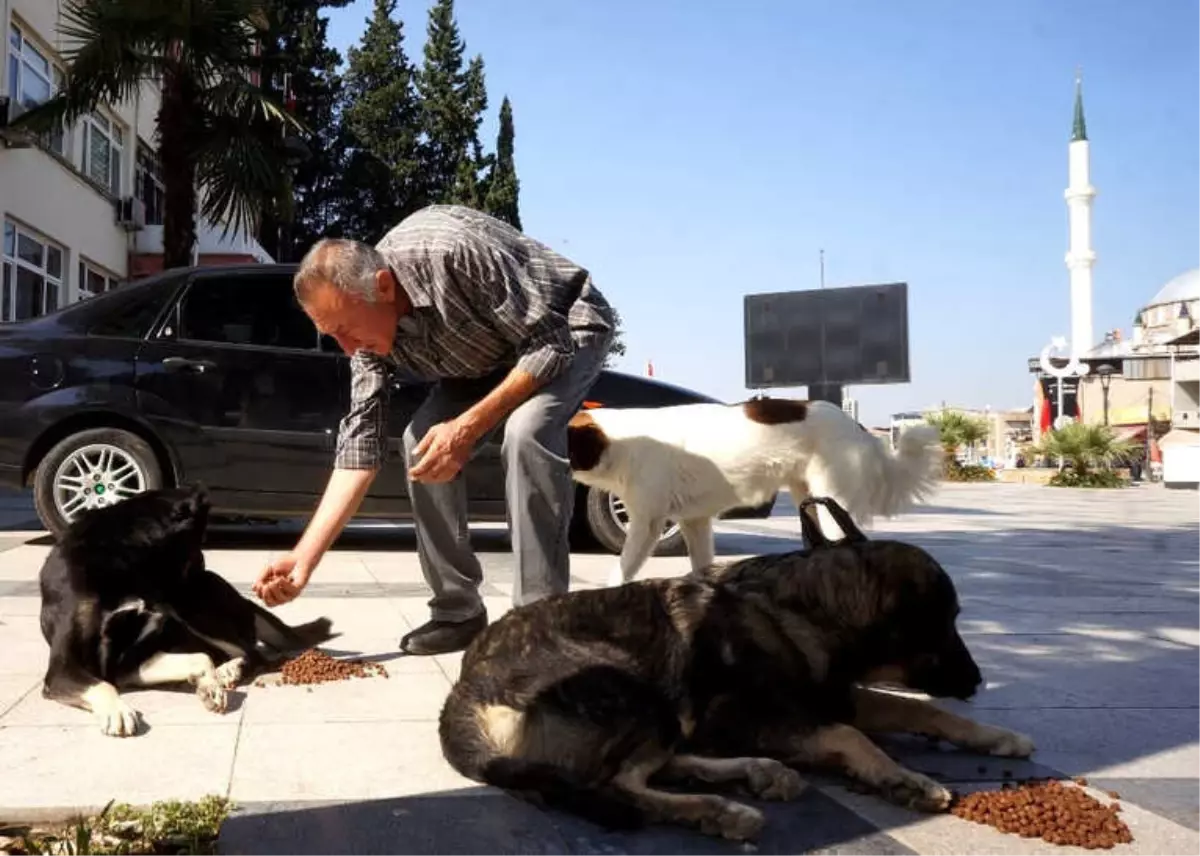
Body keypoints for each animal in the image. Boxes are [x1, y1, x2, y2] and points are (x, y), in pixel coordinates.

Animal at [37, 480, 336, 734]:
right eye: (198, 542)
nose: (203, 572)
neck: (124, 562)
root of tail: (244, 601)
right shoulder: (74, 667)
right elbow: (103, 684)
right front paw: (118, 710)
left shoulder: (132, 655)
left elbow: (201, 659)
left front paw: (211, 685)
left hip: (193, 610)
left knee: (253, 654)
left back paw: (228, 670)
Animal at [436, 497, 1036, 840]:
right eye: (943, 624)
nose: (976, 682)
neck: (802, 610)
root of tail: (463, 694)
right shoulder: (748, 717)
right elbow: (849, 735)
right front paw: (902, 777)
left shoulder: (833, 694)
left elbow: (923, 711)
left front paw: (993, 734)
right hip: (635, 690)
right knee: (621, 783)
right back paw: (718, 810)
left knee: (658, 764)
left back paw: (756, 773)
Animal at [566, 396, 940, 583]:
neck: (622, 441)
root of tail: (856, 426)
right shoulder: (694, 521)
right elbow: (701, 568)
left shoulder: (647, 523)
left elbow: (620, 570)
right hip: (810, 500)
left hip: (833, 503)